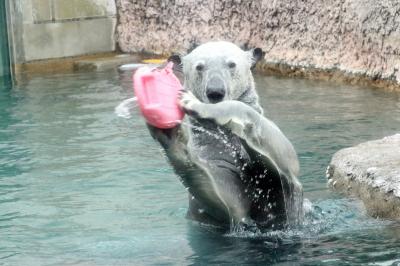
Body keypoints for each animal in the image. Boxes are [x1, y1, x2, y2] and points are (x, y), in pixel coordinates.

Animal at [147, 41, 304, 231]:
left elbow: (286, 162)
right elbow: (227, 201)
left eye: (231, 64)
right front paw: (170, 132)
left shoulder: (286, 184)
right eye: (199, 67)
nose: (215, 92)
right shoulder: (213, 152)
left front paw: (197, 104)